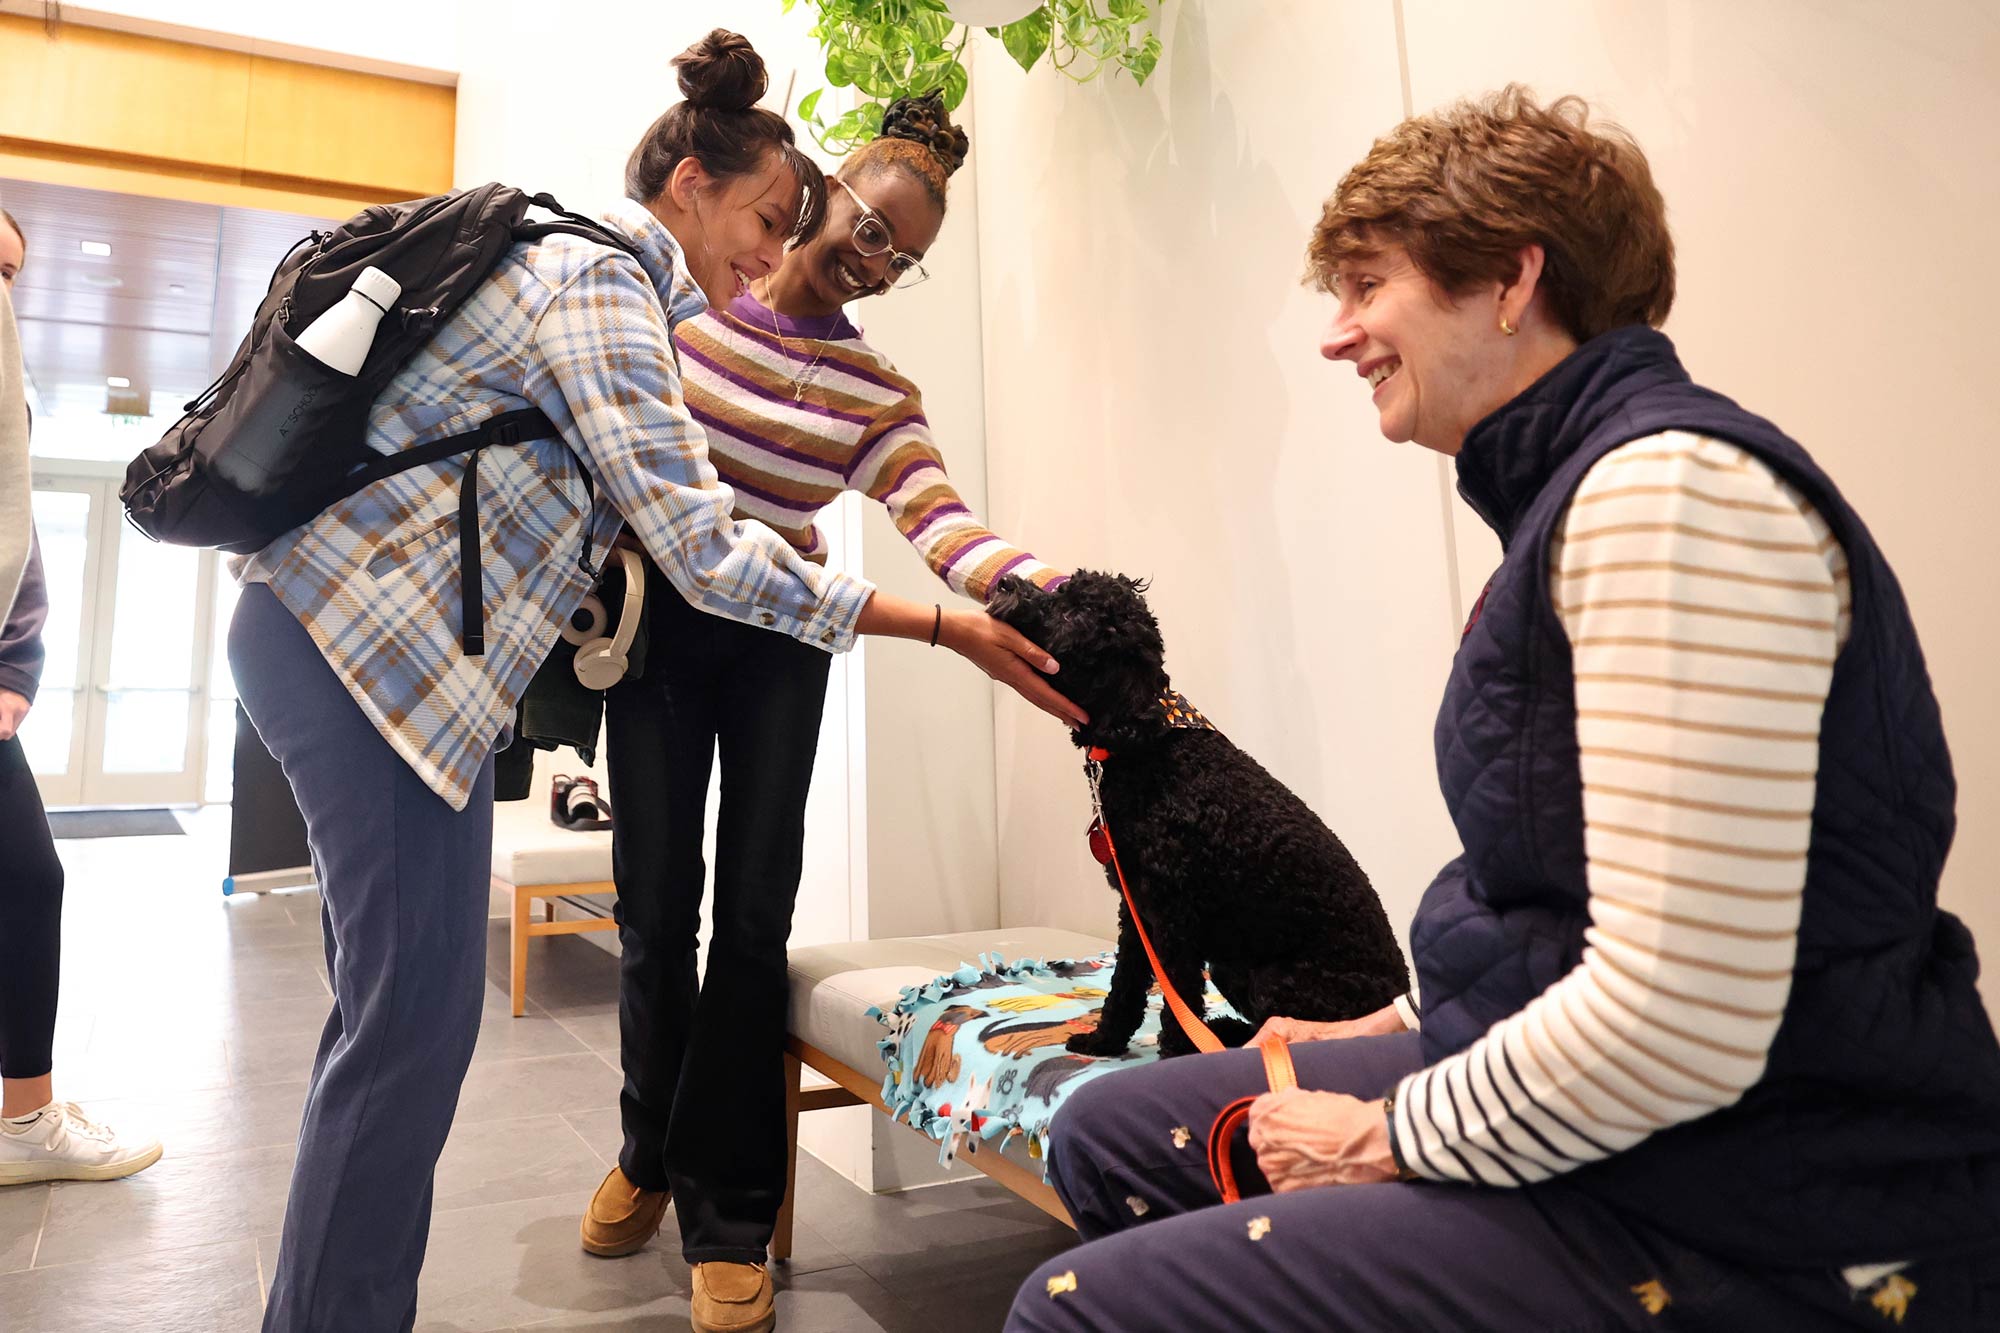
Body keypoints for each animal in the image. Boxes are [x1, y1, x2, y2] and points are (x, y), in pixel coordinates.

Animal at [984, 564, 1408, 1056]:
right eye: (1061, 590)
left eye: (1072, 616)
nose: (1006, 582)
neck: (1149, 747)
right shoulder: (1137, 913)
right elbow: (1125, 983)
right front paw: (1104, 1040)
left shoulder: (1173, 920)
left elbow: (1179, 1001)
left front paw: (1173, 1058)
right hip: (1233, 966)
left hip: (1280, 981)